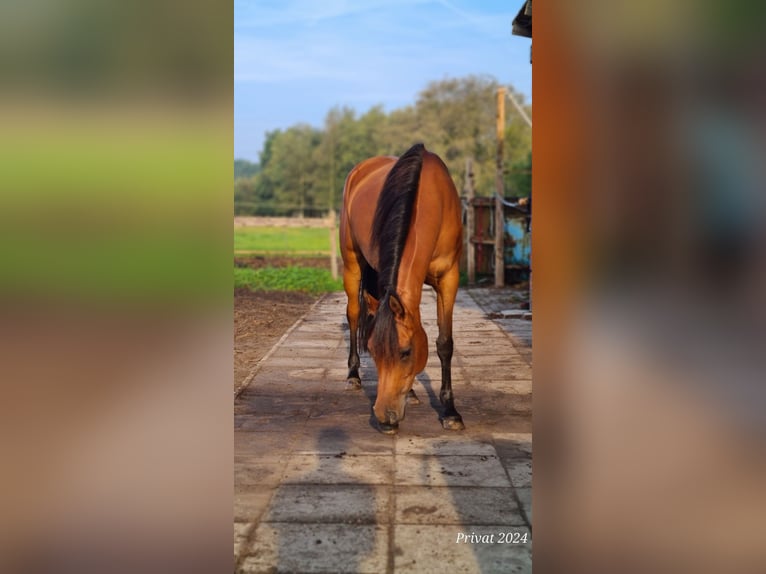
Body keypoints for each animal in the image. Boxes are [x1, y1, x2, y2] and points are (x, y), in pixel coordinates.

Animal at [344, 143, 464, 432]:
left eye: (406, 352)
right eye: (373, 351)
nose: (384, 417)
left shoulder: (449, 279)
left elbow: (445, 343)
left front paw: (451, 412)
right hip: (352, 262)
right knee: (353, 314)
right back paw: (353, 375)